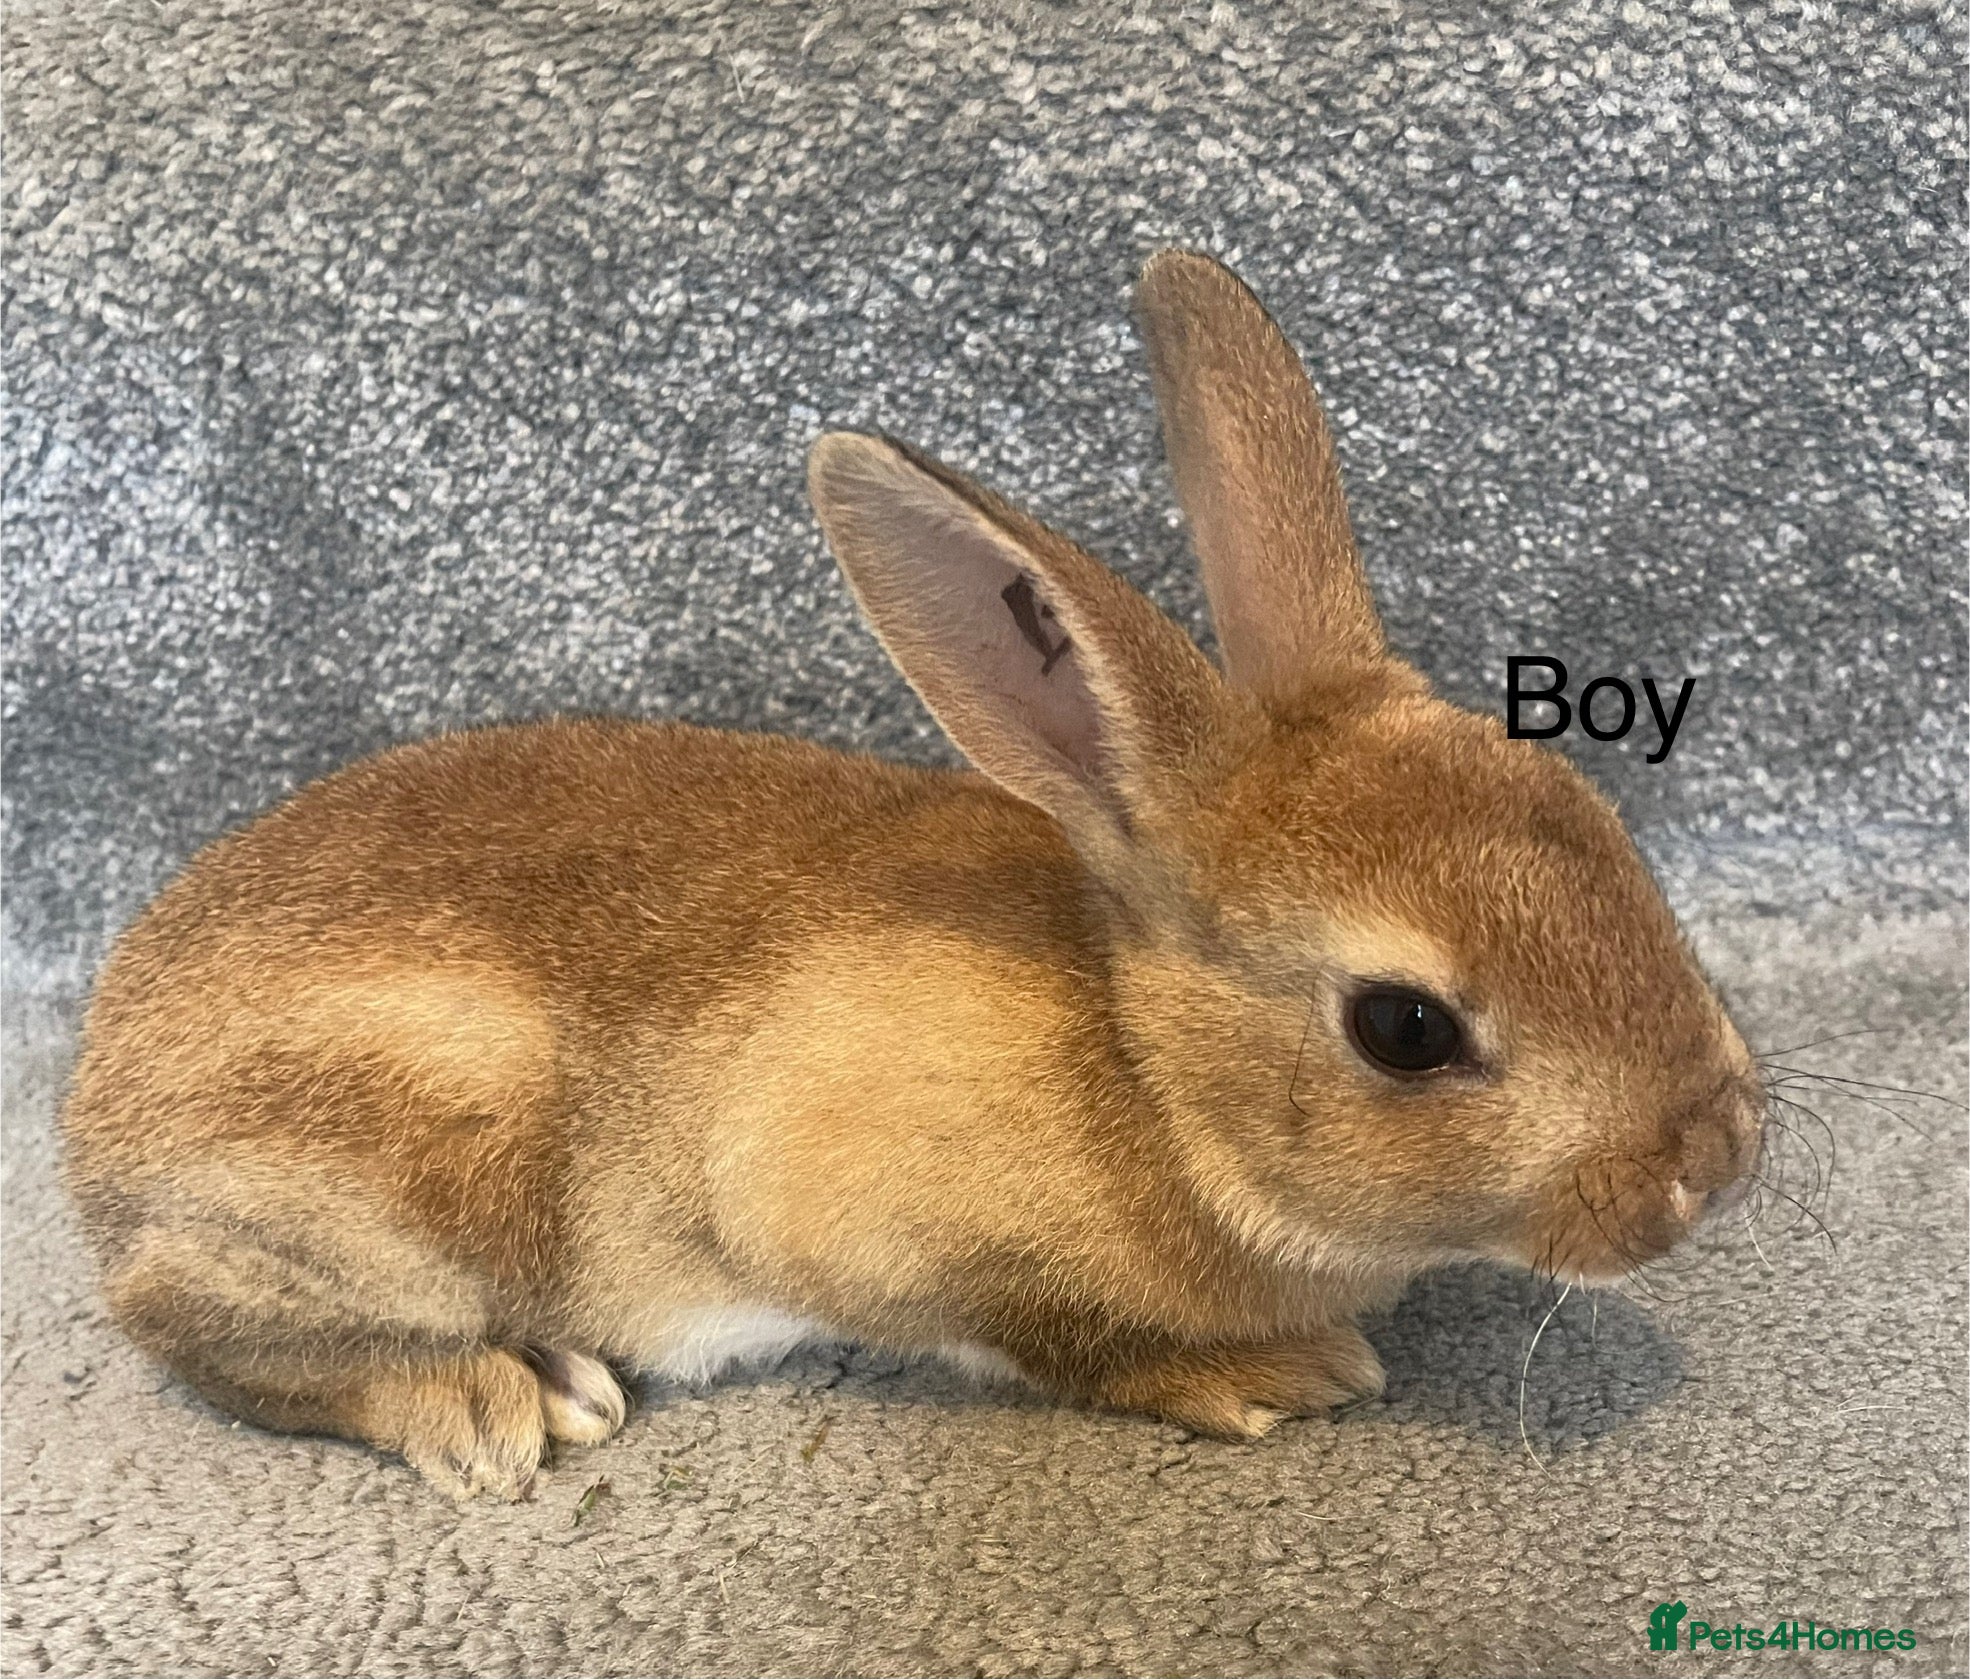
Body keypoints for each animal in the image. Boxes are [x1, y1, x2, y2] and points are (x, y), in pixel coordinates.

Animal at [60, 250, 1766, 1500]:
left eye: (1592, 819)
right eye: (1402, 1029)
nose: (1714, 1157)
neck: (1144, 1068)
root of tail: (93, 1131)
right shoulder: (859, 1227)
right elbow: (1046, 1336)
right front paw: (1269, 1375)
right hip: (381, 1174)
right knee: (201, 1330)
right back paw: (495, 1400)